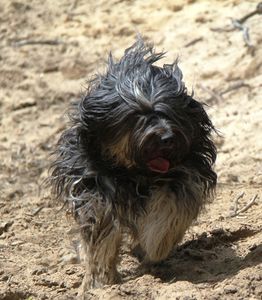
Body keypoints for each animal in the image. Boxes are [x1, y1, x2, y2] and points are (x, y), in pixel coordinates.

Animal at [49, 38, 217, 298]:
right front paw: (101, 281)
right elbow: (102, 234)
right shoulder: (96, 189)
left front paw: (156, 247)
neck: (135, 173)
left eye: (168, 112)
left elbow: (169, 212)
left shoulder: (184, 176)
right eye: (137, 116)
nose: (167, 138)